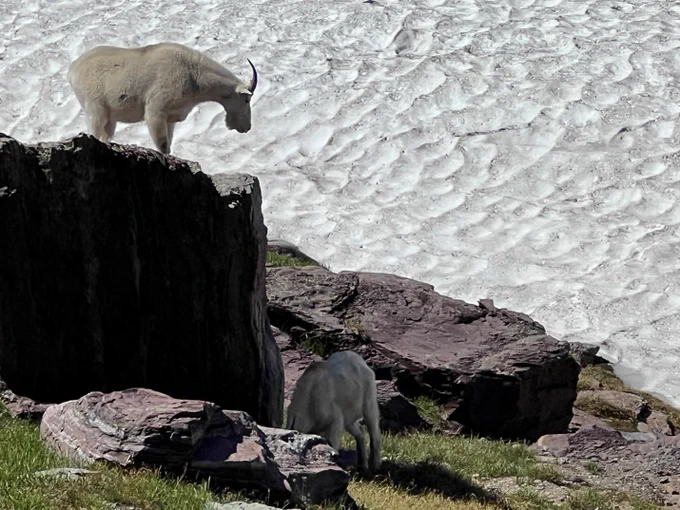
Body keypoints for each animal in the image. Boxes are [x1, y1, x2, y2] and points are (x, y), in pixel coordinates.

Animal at [67, 42, 258, 154]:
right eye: (247, 100)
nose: (246, 127)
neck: (193, 75)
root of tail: (73, 68)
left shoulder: (170, 118)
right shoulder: (156, 111)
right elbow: (162, 145)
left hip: (110, 118)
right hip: (95, 109)